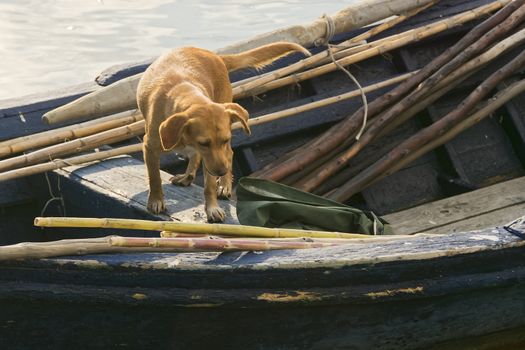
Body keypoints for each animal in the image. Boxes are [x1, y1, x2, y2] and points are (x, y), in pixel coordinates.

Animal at [136, 41, 312, 221]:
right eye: (203, 143)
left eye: (225, 139)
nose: (222, 171)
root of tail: (215, 55)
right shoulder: (149, 147)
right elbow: (154, 177)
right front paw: (156, 201)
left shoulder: (213, 159)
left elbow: (209, 186)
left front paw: (212, 208)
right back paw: (189, 176)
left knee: (230, 153)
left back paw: (224, 185)